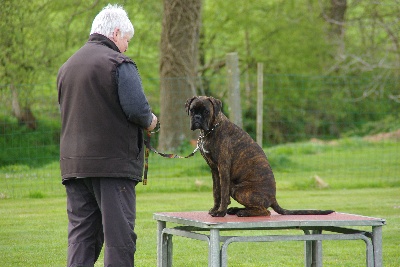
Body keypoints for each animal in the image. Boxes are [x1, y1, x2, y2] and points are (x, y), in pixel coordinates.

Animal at [185, 96, 334, 218]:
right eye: (192, 110)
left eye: (206, 111)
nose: (197, 117)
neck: (211, 129)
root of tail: (273, 198)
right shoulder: (214, 170)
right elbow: (216, 192)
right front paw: (215, 209)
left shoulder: (223, 168)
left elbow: (223, 192)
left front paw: (220, 212)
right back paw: (236, 209)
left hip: (238, 189)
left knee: (265, 211)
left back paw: (243, 212)